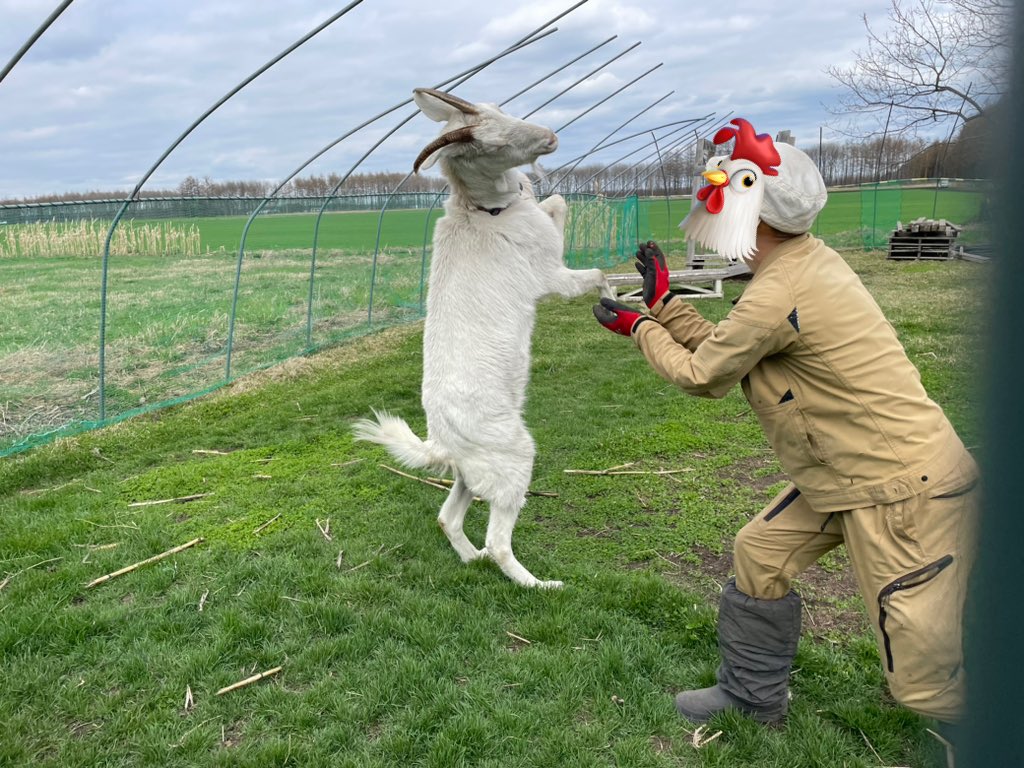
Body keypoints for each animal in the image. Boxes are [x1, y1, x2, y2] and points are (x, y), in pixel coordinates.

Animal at [353, 88, 613, 588]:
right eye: (488, 146)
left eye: (498, 111)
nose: (550, 137)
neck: (484, 211)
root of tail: (441, 442)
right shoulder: (550, 275)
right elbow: (594, 271)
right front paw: (620, 303)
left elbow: (556, 201)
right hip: (513, 459)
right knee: (499, 541)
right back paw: (540, 584)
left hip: (469, 475)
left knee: (447, 518)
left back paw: (470, 558)